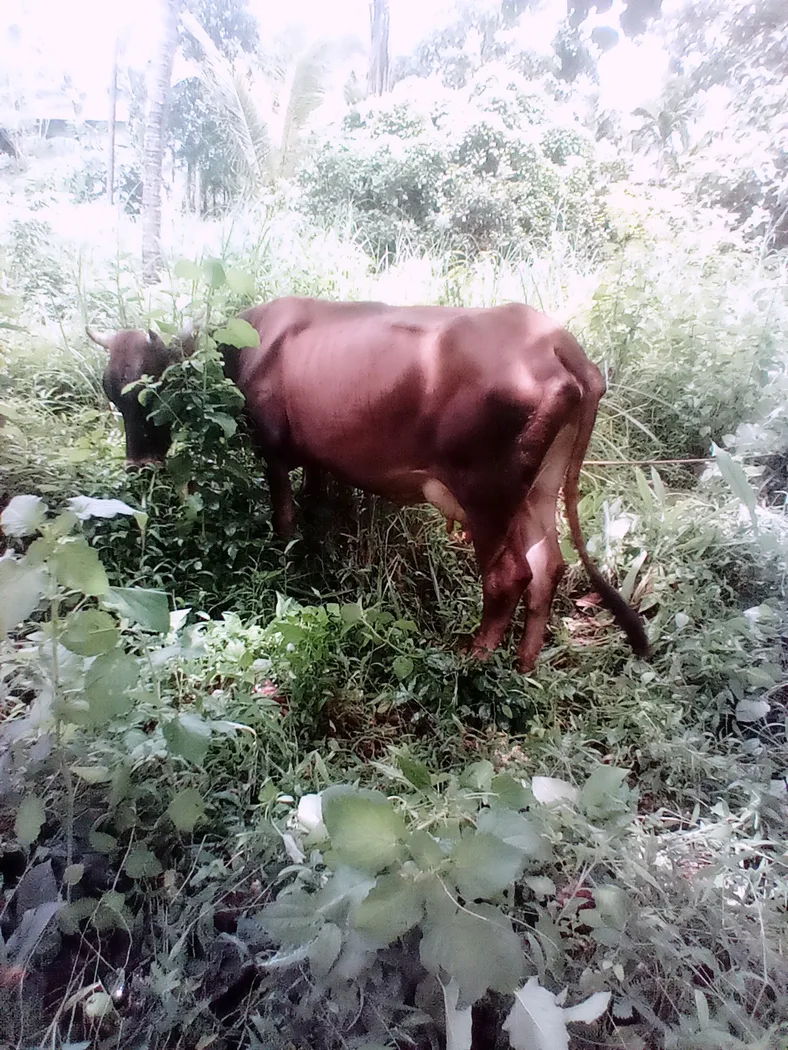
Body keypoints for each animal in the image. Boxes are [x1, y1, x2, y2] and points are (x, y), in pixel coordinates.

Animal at [87, 297, 649, 672]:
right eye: (111, 391)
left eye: (148, 391)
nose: (140, 464)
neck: (249, 342)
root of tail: (555, 341)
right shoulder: (317, 458)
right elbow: (316, 512)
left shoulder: (272, 450)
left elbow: (285, 518)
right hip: (536, 491)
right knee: (548, 566)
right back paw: (525, 663)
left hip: (487, 495)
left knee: (510, 575)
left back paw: (474, 657)